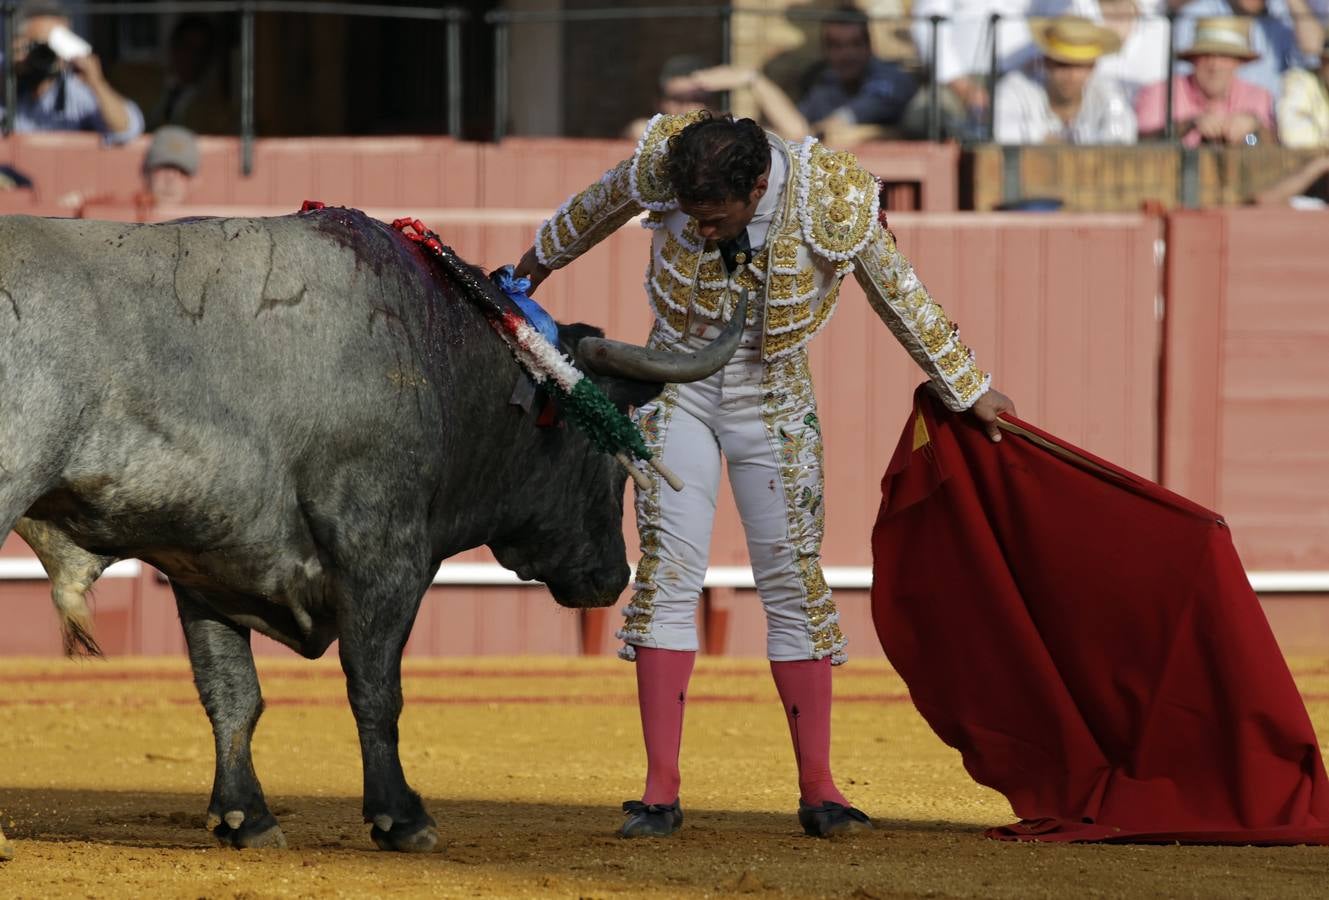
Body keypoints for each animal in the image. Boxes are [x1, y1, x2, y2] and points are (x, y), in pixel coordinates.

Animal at [0, 207, 744, 850]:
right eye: (608, 456)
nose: (612, 577)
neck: (439, 356)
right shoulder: (383, 557)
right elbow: (375, 685)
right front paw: (401, 817)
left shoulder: (205, 569)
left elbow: (232, 694)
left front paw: (246, 818)